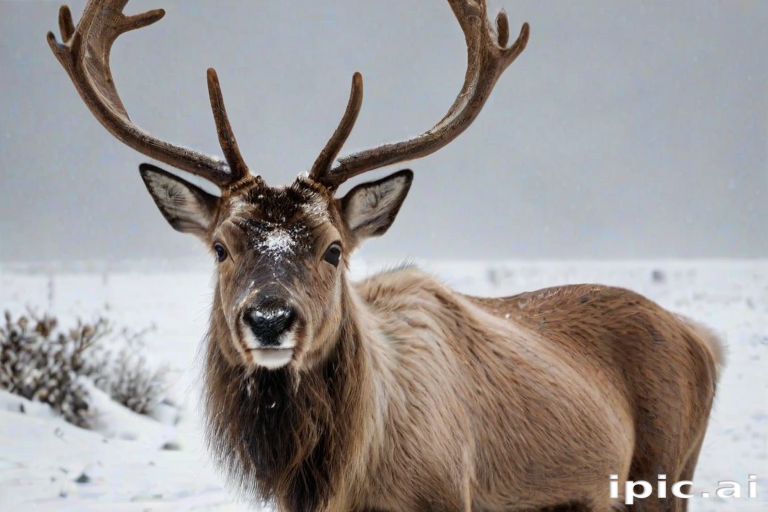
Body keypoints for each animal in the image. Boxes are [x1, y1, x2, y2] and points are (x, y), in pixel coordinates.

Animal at [47, 1, 724, 511]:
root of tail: (702, 337)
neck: (346, 479)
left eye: (333, 249)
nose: (269, 319)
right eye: (220, 246)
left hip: (666, 474)